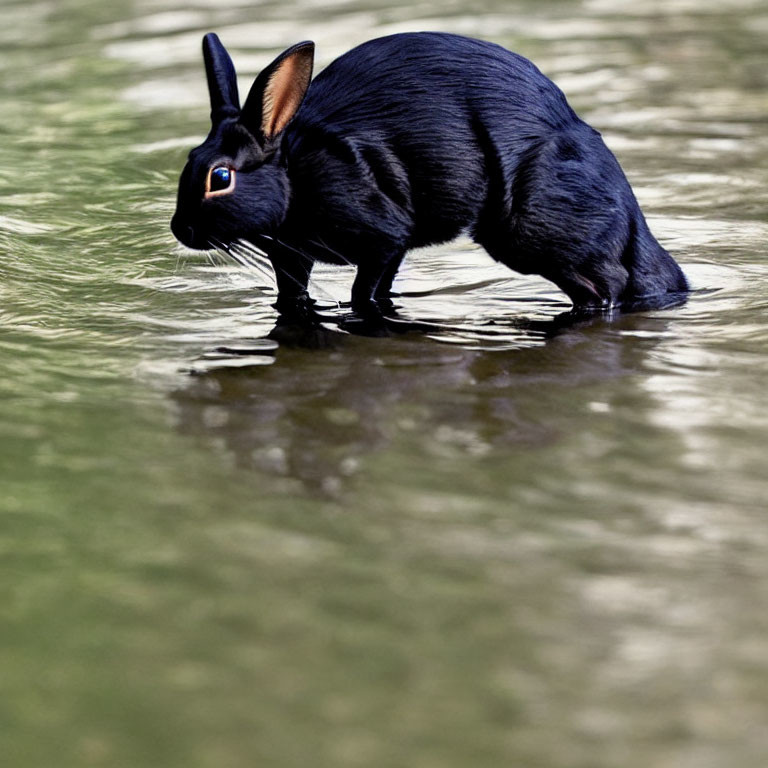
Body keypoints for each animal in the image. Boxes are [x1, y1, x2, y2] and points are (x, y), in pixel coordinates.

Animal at [171, 32, 688, 320]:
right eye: (191, 160)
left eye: (220, 176)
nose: (180, 229)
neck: (294, 177)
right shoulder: (294, 257)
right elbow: (297, 297)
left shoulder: (383, 237)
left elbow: (364, 292)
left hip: (529, 233)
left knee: (610, 282)